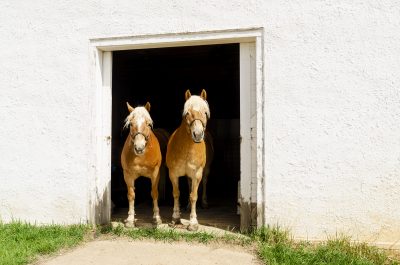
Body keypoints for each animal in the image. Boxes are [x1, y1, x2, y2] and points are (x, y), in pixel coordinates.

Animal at [166, 88, 211, 229]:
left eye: (205, 113)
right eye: (187, 113)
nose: (198, 134)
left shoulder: (197, 174)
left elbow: (194, 196)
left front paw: (193, 222)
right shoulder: (173, 173)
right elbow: (176, 193)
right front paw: (175, 218)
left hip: (204, 171)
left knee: (205, 182)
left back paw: (204, 203)